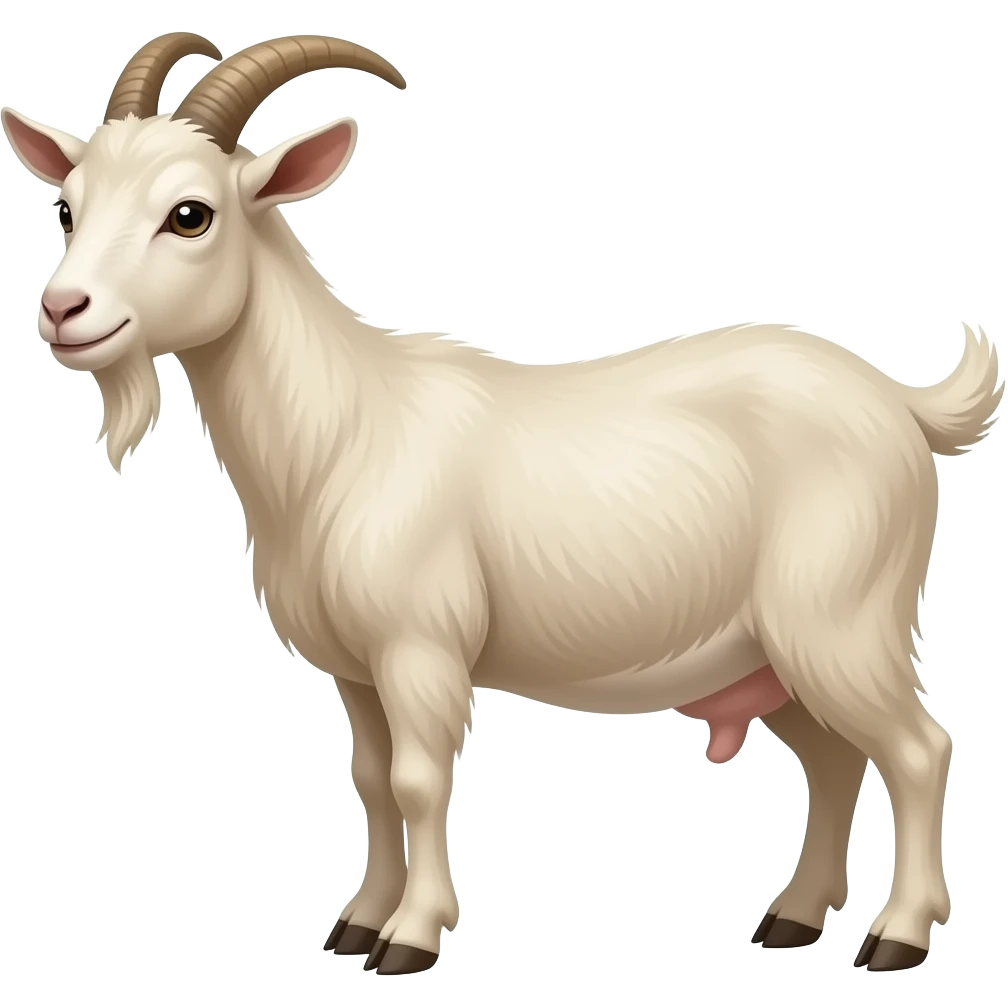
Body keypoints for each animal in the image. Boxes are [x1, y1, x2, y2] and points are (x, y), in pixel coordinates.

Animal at [3, 31, 1000, 977]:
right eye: (67, 206)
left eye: (190, 214)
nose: (64, 309)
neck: (340, 432)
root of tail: (901, 405)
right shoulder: (357, 669)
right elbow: (370, 778)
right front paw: (357, 922)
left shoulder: (420, 647)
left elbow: (416, 779)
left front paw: (411, 937)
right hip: (770, 650)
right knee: (834, 758)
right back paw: (793, 919)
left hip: (841, 618)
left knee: (918, 749)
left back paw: (898, 937)